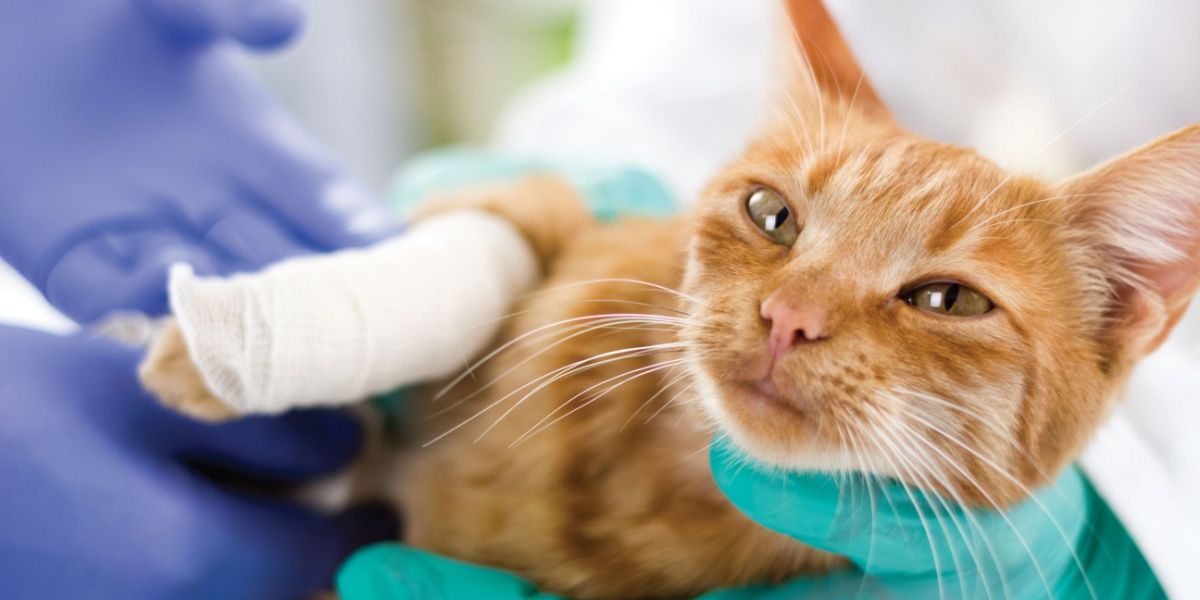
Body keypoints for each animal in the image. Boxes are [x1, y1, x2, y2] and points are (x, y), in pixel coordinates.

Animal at [140, 0, 1200, 597]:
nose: (788, 317)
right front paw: (220, 349)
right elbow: (479, 236)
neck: (659, 479)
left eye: (947, 300)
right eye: (774, 215)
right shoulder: (547, 210)